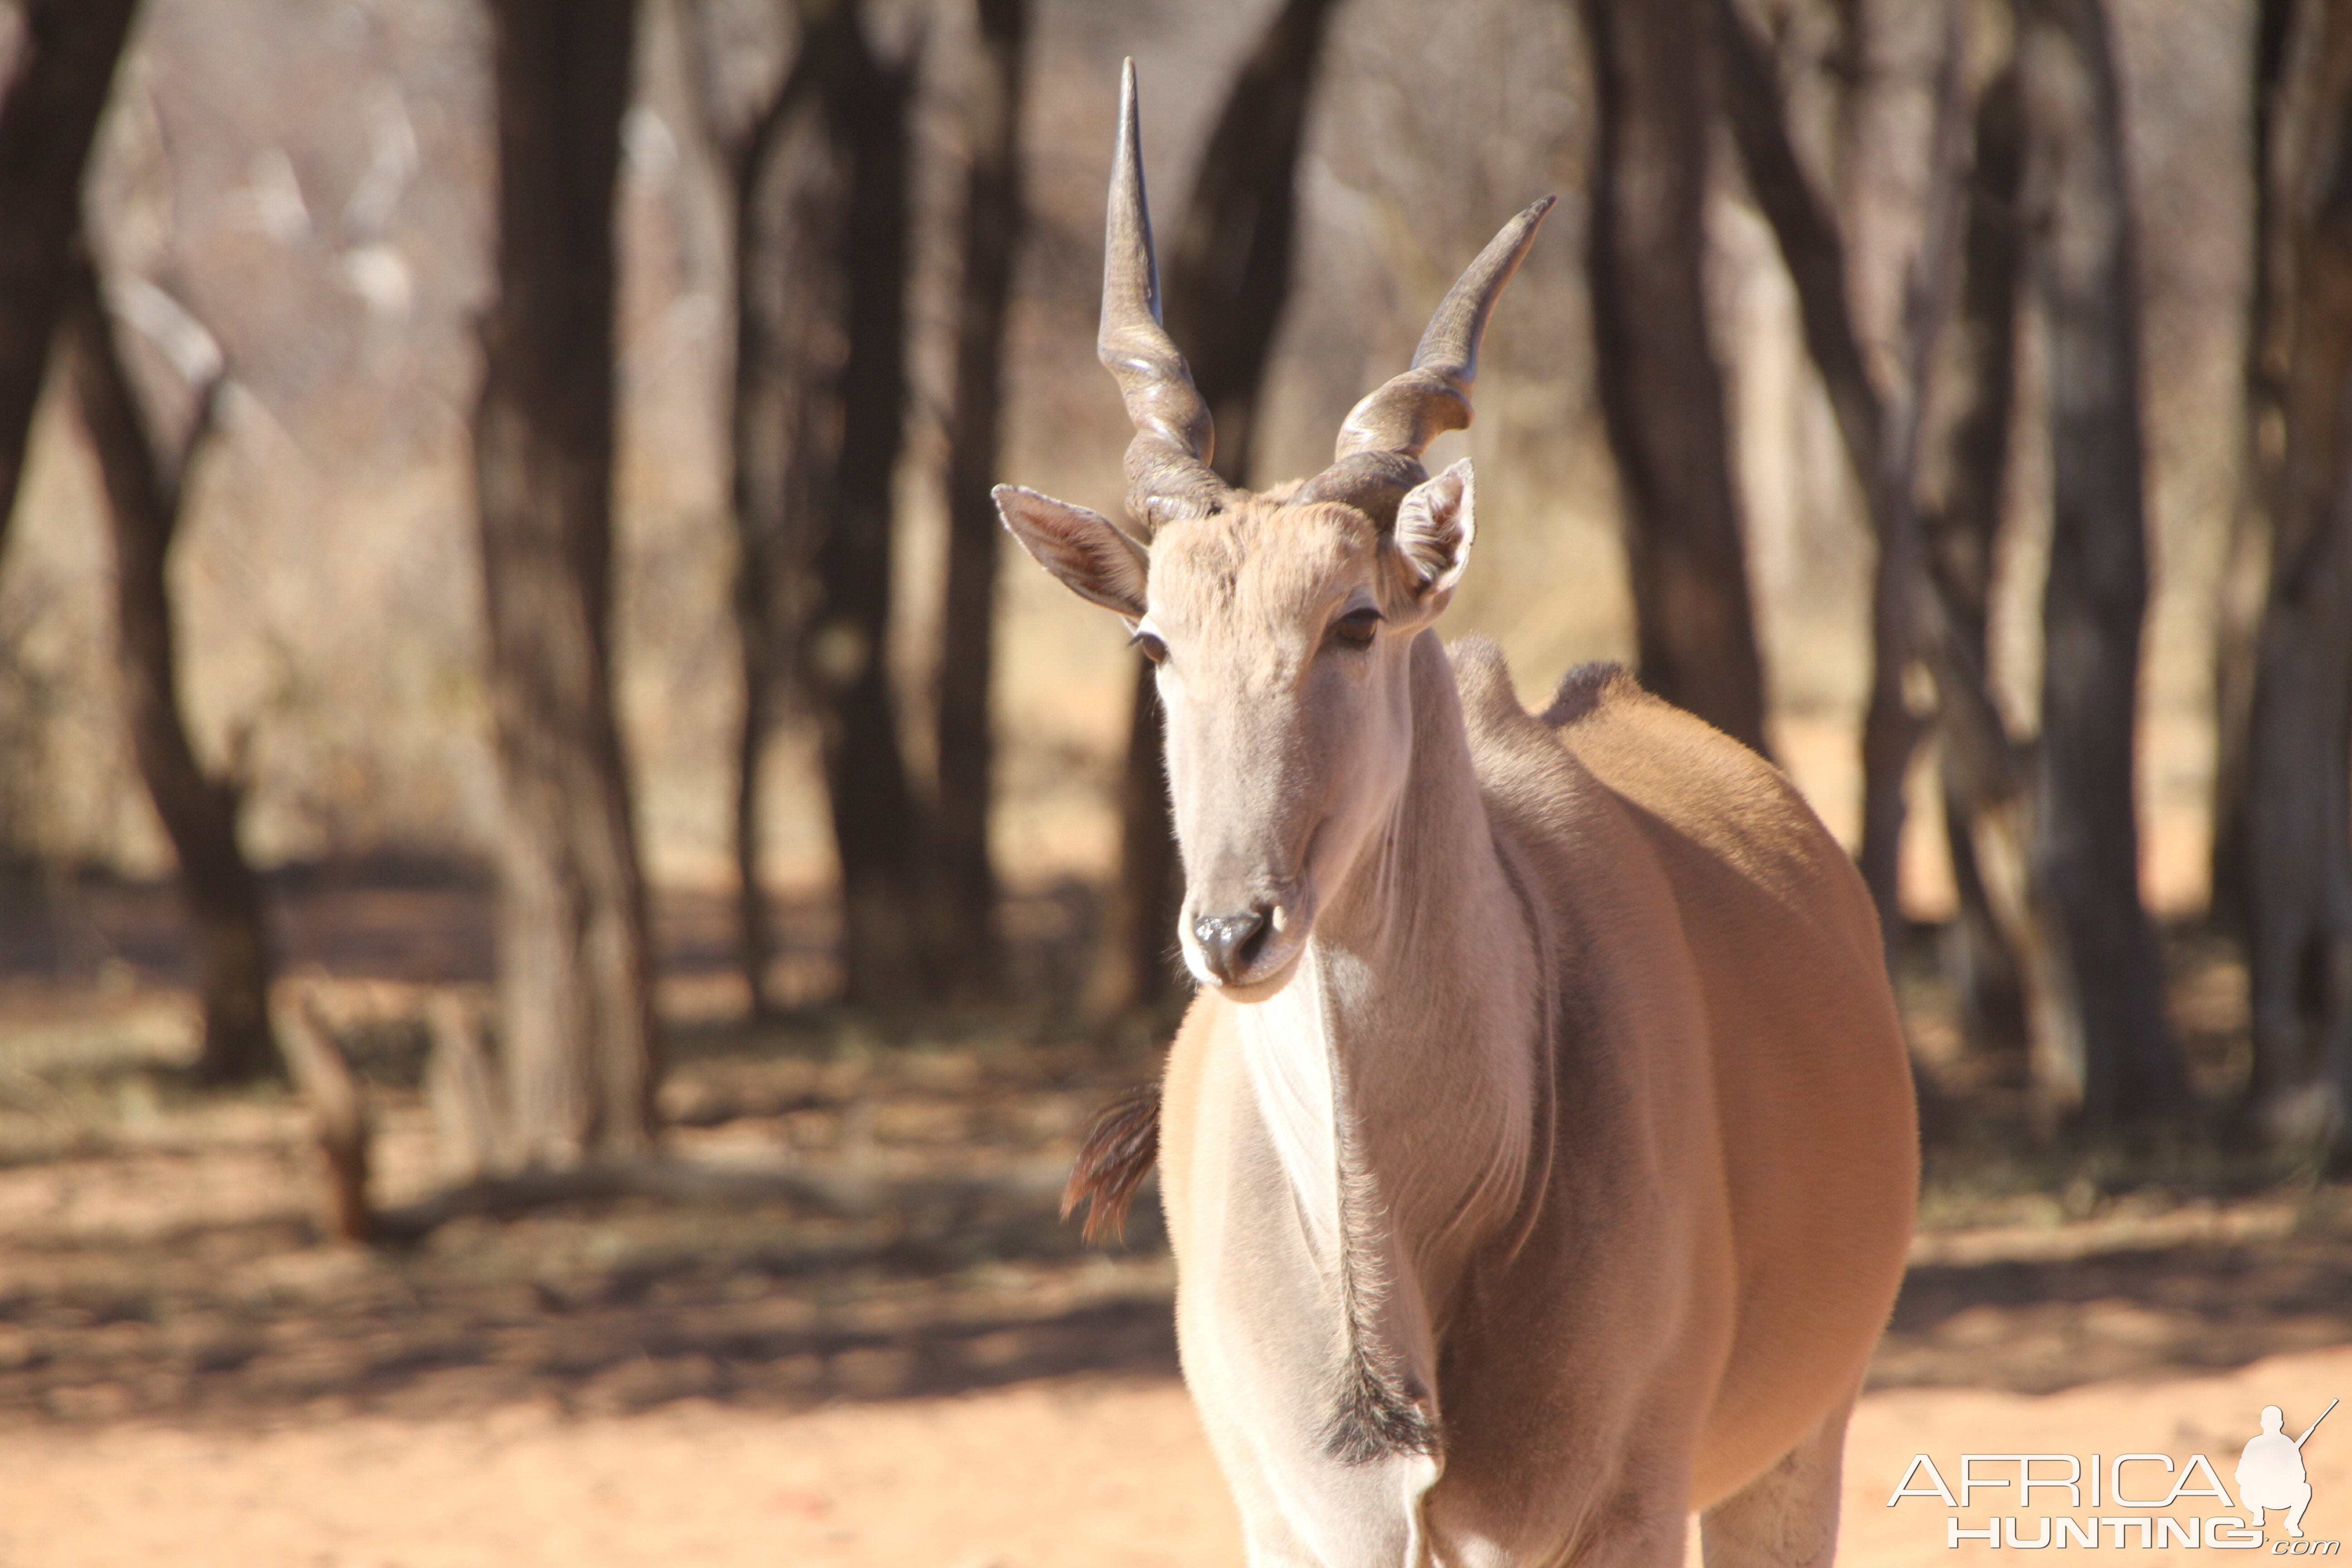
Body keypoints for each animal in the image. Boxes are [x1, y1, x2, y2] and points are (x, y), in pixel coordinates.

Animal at [1002, 61, 1919, 1568]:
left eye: (1355, 621)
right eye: (1153, 641)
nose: (1233, 933)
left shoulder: (1627, 1513)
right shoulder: (1296, 1524)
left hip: (1797, 1455)